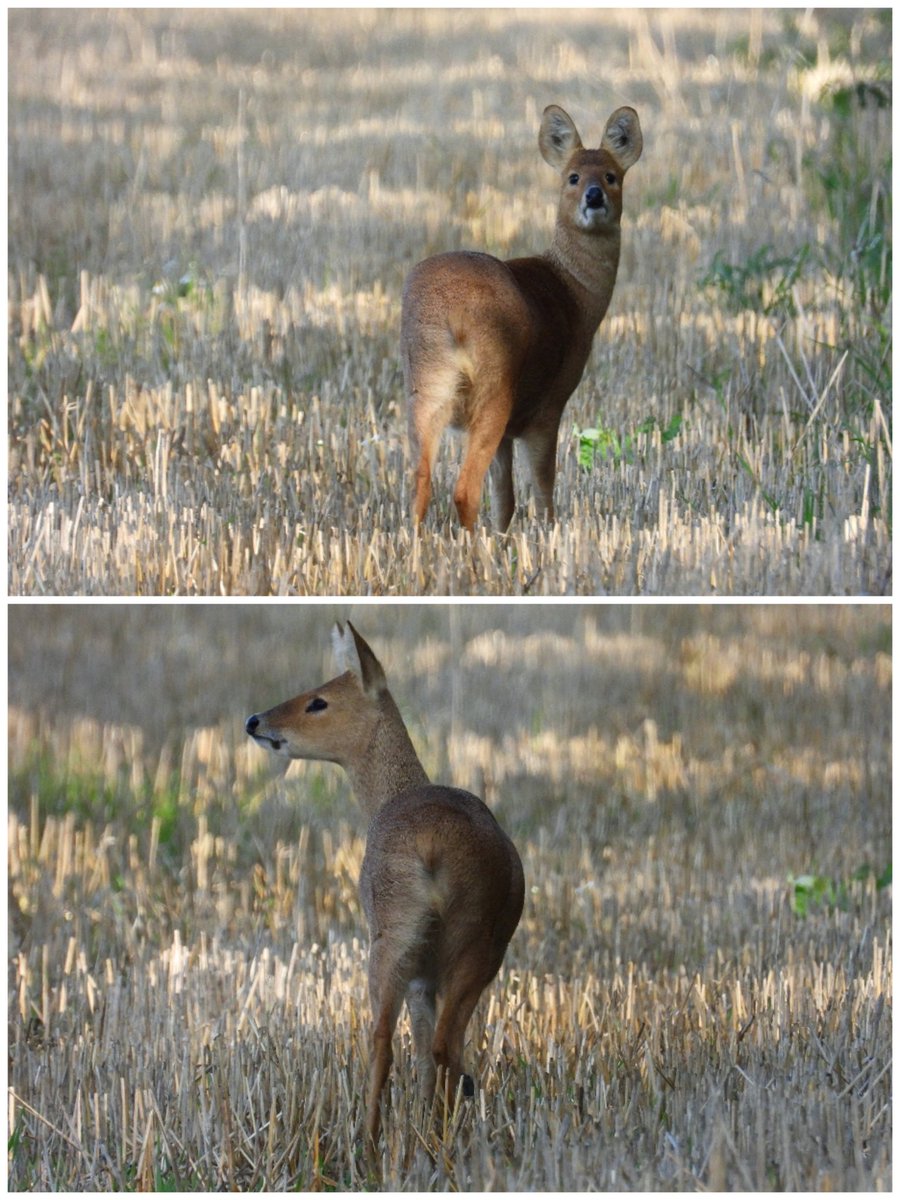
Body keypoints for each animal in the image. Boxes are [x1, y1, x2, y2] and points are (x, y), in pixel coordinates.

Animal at [247, 619, 528, 1152]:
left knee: (385, 1039)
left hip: (394, 940)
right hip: (476, 946)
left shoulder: (416, 970)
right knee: (444, 1044)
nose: (255, 720)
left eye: (319, 700)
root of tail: (433, 845)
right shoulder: (434, 972)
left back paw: (371, 1140)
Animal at [405, 103, 643, 530]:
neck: (574, 293)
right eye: (573, 177)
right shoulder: (548, 406)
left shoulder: (510, 432)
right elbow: (544, 491)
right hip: (494, 386)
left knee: (421, 484)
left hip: (424, 384)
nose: (594, 195)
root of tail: (452, 315)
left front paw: (504, 537)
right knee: (464, 490)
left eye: (611, 175)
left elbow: (505, 499)